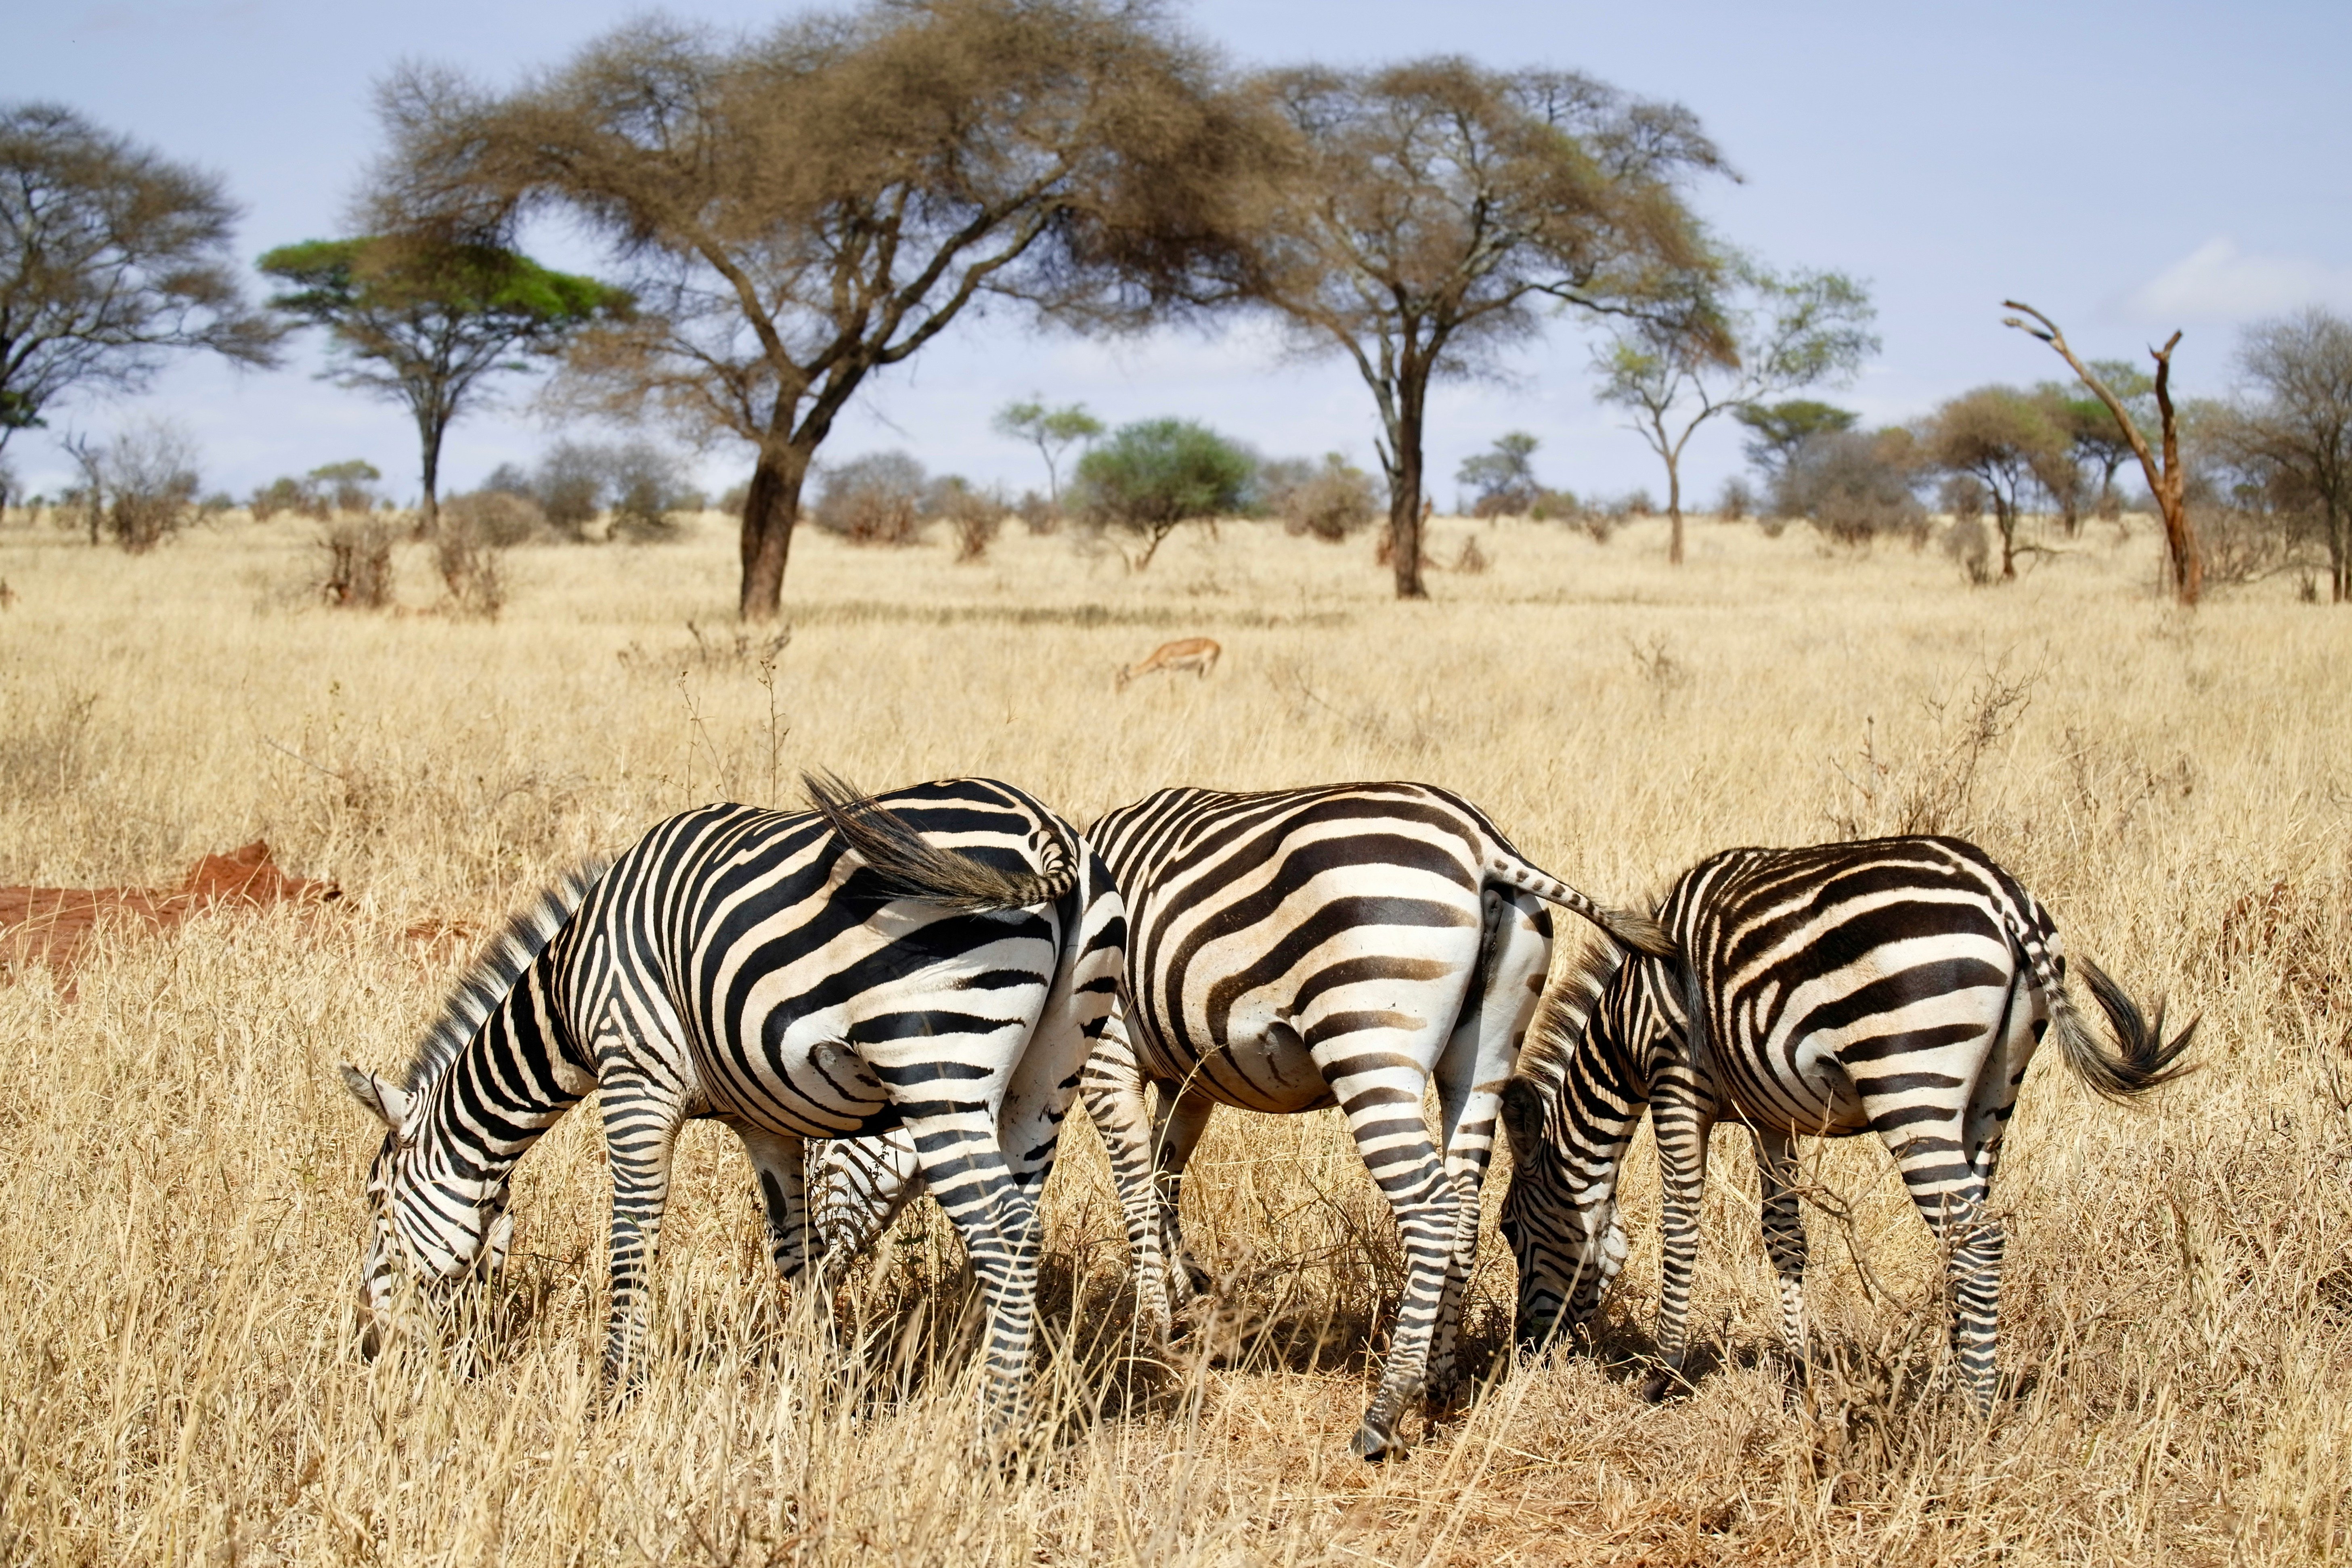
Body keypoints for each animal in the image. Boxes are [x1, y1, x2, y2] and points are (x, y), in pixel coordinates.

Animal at [338, 776, 1129, 1438]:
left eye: (376, 1201)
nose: (367, 1343)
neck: (567, 990)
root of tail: (1045, 829)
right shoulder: (763, 1118)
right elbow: (796, 1251)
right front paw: (817, 1384)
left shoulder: (636, 1077)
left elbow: (631, 1235)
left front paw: (617, 1391)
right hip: (1047, 1076)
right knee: (1018, 1223)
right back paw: (984, 1391)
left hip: (935, 1065)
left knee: (1005, 1234)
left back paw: (992, 1436)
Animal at [1115, 639, 1223, 691]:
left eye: (1121, 681)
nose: (1119, 693)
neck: (1160, 654)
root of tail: (1218, 645)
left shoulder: (1170, 671)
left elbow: (1166, 688)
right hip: (1202, 668)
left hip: (1208, 666)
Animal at [1496, 841, 2192, 1420]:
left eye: (1508, 1229)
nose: (1527, 1349)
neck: (1625, 1025)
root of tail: (2003, 896)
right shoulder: (1768, 1117)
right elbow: (1784, 1237)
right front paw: (1797, 1377)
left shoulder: (1676, 1082)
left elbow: (1679, 1225)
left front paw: (1661, 1374)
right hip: (1993, 1095)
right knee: (1962, 1231)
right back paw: (1951, 1379)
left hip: (1910, 1083)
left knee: (1979, 1240)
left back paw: (1975, 1408)